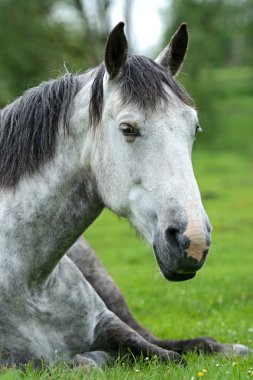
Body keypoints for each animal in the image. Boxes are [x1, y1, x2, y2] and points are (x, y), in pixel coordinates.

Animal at [0, 22, 250, 370]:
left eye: (194, 129)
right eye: (127, 128)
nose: (193, 241)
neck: (29, 282)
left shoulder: (109, 324)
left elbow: (170, 356)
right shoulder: (15, 361)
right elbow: (66, 362)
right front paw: (93, 358)